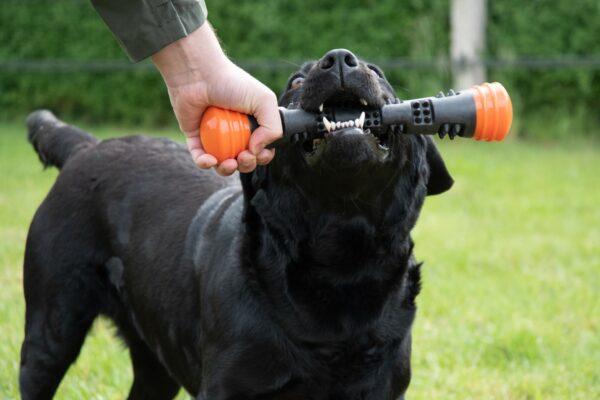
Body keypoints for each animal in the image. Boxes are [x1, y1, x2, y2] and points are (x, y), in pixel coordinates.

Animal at [19, 48, 454, 398]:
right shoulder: (227, 385)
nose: (339, 59)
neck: (340, 261)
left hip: (154, 361)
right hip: (50, 331)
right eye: (296, 81)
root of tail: (85, 145)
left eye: (378, 73)